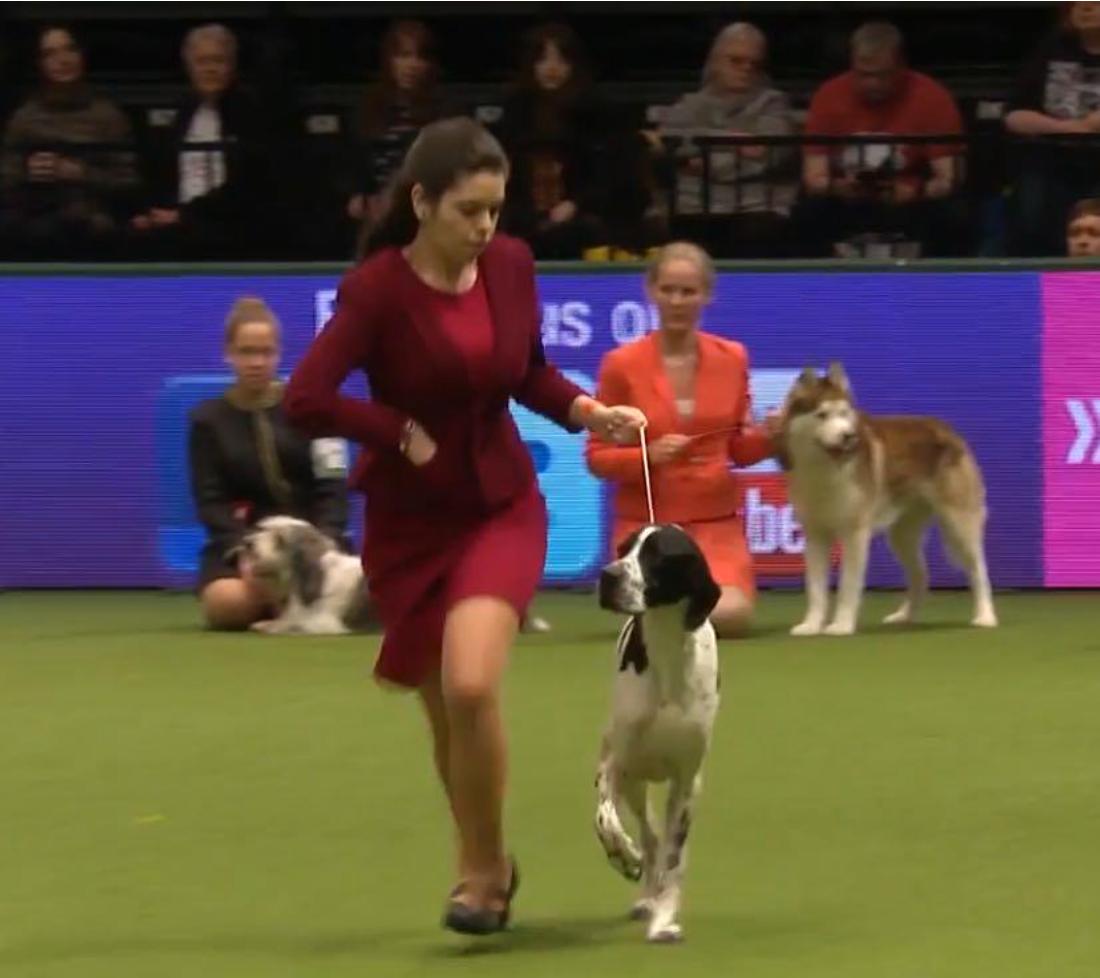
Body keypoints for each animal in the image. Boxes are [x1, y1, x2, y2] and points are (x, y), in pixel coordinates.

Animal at [233, 514, 369, 638]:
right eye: (263, 529)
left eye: (279, 539)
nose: (248, 542)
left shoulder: (323, 623)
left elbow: (292, 623)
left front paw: (272, 626)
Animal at [594, 523, 721, 941]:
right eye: (622, 548)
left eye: (658, 555)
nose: (608, 576)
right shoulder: (615, 764)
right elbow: (605, 818)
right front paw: (622, 853)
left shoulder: (686, 782)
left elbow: (674, 858)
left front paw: (664, 919)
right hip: (634, 778)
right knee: (648, 837)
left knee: (661, 844)